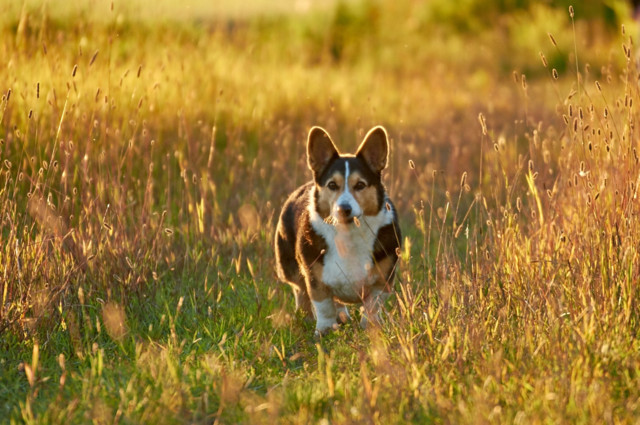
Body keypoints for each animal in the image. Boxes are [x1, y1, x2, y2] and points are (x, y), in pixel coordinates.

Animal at [274, 124, 400, 332]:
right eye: (332, 185)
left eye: (360, 185)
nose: (344, 209)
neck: (348, 235)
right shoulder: (315, 278)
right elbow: (323, 305)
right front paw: (324, 330)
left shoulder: (382, 280)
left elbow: (373, 306)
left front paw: (371, 327)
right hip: (290, 267)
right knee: (301, 292)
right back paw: (307, 318)